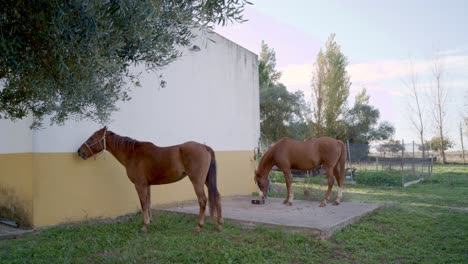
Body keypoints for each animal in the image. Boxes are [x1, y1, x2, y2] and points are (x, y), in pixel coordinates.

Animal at [77, 127, 223, 232]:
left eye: (91, 138)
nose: (79, 152)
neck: (132, 154)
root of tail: (204, 147)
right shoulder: (147, 185)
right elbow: (148, 203)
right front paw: (150, 222)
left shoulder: (139, 185)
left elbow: (143, 204)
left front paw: (144, 226)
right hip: (207, 180)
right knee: (217, 196)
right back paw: (219, 225)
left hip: (197, 181)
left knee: (203, 200)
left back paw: (198, 226)